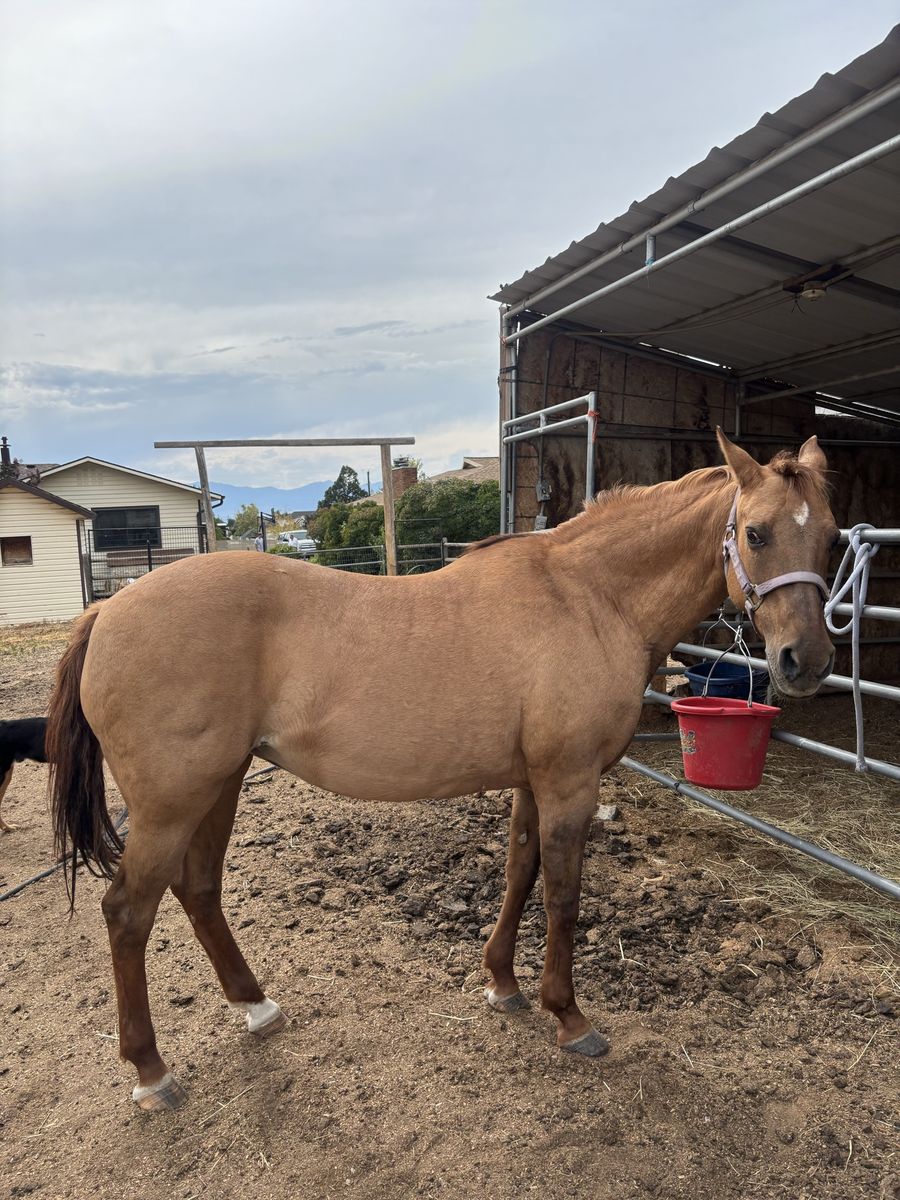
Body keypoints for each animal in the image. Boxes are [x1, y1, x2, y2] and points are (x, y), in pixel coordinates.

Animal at [45, 431, 838, 1112]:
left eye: (831, 536)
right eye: (757, 533)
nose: (805, 661)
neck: (589, 596)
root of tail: (107, 614)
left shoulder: (532, 782)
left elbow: (519, 873)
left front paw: (503, 983)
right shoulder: (569, 783)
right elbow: (563, 896)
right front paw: (569, 1016)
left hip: (220, 784)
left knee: (199, 890)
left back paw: (257, 1006)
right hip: (173, 801)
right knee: (128, 913)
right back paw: (152, 1071)